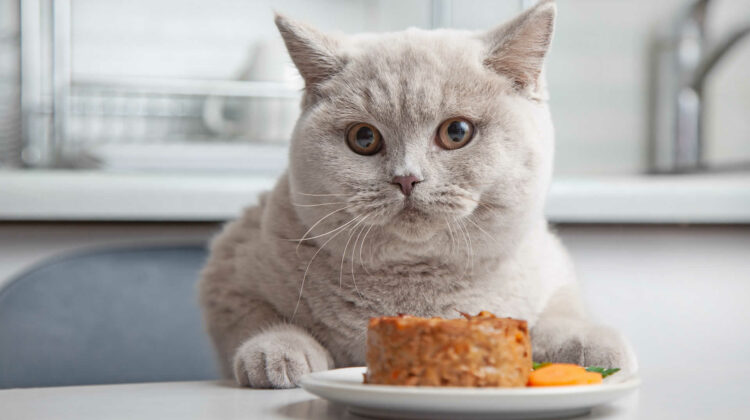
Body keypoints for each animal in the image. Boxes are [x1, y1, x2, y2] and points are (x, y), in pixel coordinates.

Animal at [200, 0, 640, 388]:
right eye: (363, 138)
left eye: (456, 132)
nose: (407, 178)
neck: (418, 284)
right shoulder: (228, 271)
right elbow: (257, 316)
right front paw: (277, 353)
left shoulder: (554, 271)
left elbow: (556, 315)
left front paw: (589, 346)